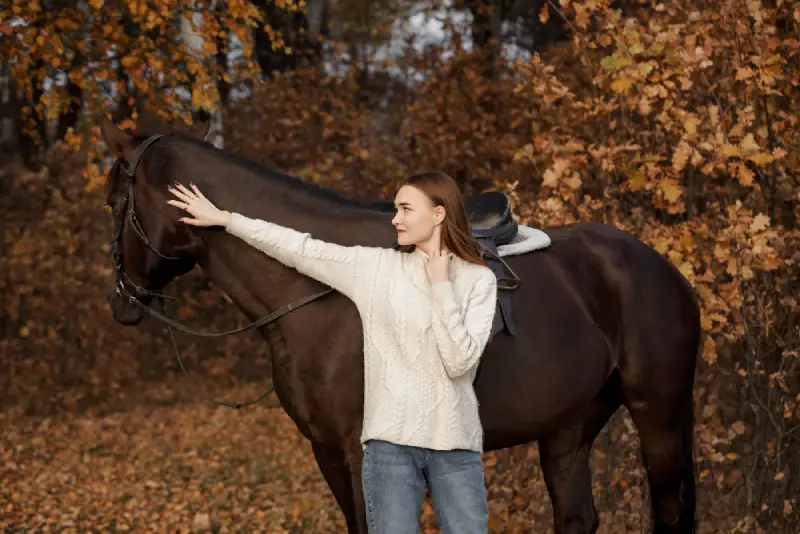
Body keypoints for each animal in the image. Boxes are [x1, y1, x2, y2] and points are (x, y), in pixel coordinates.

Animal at [98, 118, 700, 534]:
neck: (320, 293)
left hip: (658, 414)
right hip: (568, 429)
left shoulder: (358, 450)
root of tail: (664, 269)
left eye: (111, 202)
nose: (123, 302)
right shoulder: (326, 450)